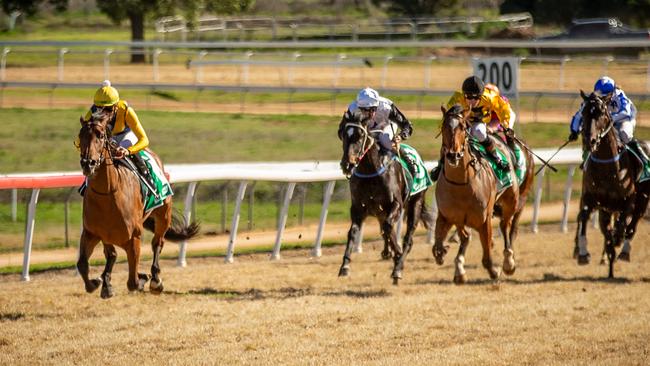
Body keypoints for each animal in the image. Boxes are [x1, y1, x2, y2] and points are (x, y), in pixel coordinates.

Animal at [76, 109, 197, 298]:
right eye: (81, 135)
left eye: (100, 135)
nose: (88, 163)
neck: (108, 195)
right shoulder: (92, 233)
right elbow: (83, 264)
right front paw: (98, 282)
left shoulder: (133, 238)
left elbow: (132, 281)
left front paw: (143, 279)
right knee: (111, 254)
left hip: (163, 214)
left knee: (157, 243)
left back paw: (155, 280)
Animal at [336, 116, 432, 284]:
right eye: (343, 134)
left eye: (360, 135)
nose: (347, 164)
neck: (370, 172)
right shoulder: (358, 208)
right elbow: (353, 232)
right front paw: (345, 266)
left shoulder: (396, 204)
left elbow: (389, 227)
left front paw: (397, 260)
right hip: (380, 211)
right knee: (387, 230)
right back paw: (389, 253)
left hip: (416, 202)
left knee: (407, 237)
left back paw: (398, 264)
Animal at [432, 105, 536, 284]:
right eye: (444, 126)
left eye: (462, 127)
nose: (453, 155)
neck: (461, 185)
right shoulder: (449, 216)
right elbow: (440, 246)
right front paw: (451, 260)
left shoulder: (483, 219)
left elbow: (487, 254)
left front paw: (494, 271)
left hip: (513, 200)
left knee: (506, 226)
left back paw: (509, 262)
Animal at [572, 91, 648, 278]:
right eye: (584, 113)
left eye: (601, 113)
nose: (590, 140)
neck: (608, 168)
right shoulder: (591, 200)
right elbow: (583, 218)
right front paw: (583, 253)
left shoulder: (629, 202)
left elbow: (622, 226)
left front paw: (617, 240)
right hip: (606, 210)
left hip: (642, 201)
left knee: (633, 225)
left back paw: (623, 251)